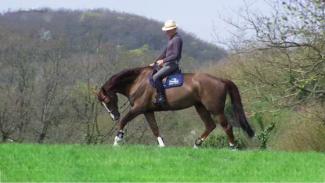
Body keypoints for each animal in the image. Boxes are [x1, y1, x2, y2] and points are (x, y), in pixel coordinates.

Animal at [96, 66, 253, 148]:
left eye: (107, 100)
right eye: (102, 103)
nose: (114, 116)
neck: (137, 82)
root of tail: (221, 80)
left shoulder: (138, 109)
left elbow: (124, 121)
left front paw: (117, 140)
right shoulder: (148, 111)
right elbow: (155, 129)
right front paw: (162, 145)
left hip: (215, 109)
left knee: (226, 126)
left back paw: (232, 147)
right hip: (200, 107)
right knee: (210, 126)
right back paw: (197, 144)